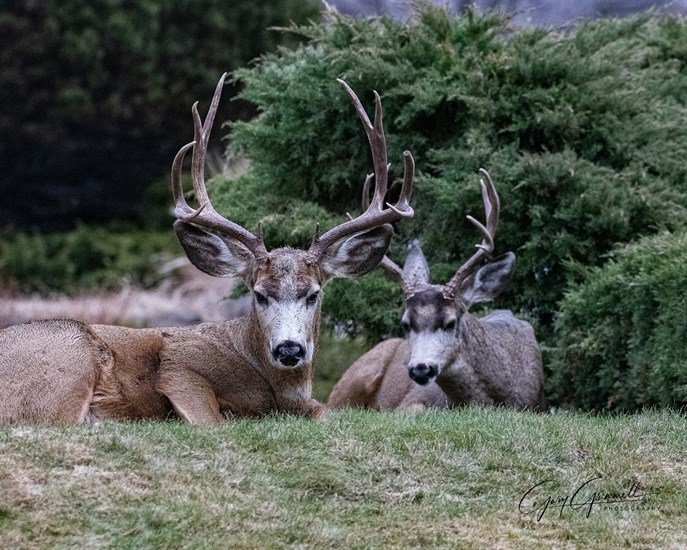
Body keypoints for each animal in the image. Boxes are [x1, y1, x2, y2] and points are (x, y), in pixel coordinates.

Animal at [0, 75, 414, 424]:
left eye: (313, 294)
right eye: (259, 294)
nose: (290, 350)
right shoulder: (181, 366)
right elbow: (207, 418)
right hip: (69, 357)